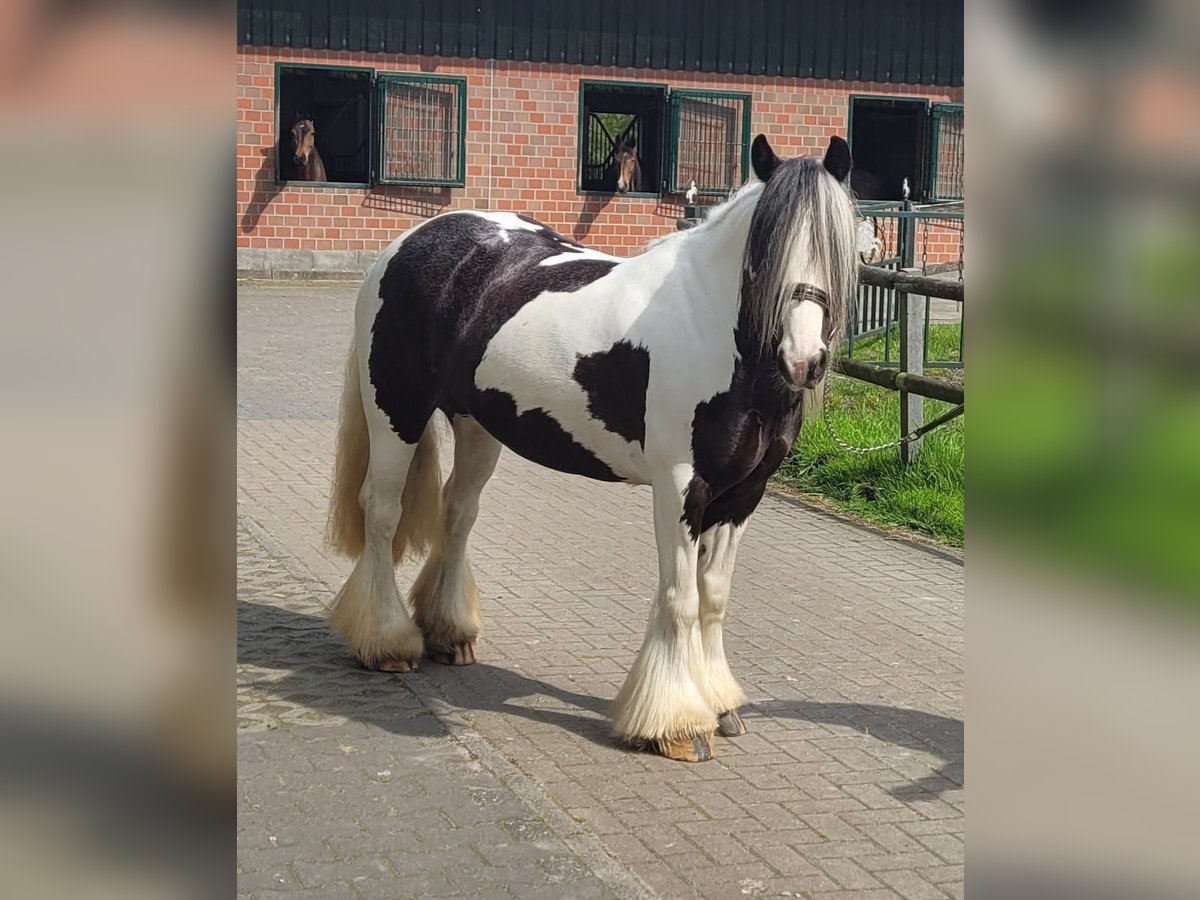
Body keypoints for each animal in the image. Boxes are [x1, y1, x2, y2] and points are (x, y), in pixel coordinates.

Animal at [324, 133, 859, 763]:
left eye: (839, 247)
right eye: (762, 252)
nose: (803, 361)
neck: (720, 339)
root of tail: (409, 242)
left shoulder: (744, 494)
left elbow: (713, 597)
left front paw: (721, 703)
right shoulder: (680, 486)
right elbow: (679, 597)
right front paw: (677, 725)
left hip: (479, 426)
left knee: (457, 515)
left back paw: (449, 634)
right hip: (395, 413)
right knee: (382, 513)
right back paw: (387, 643)